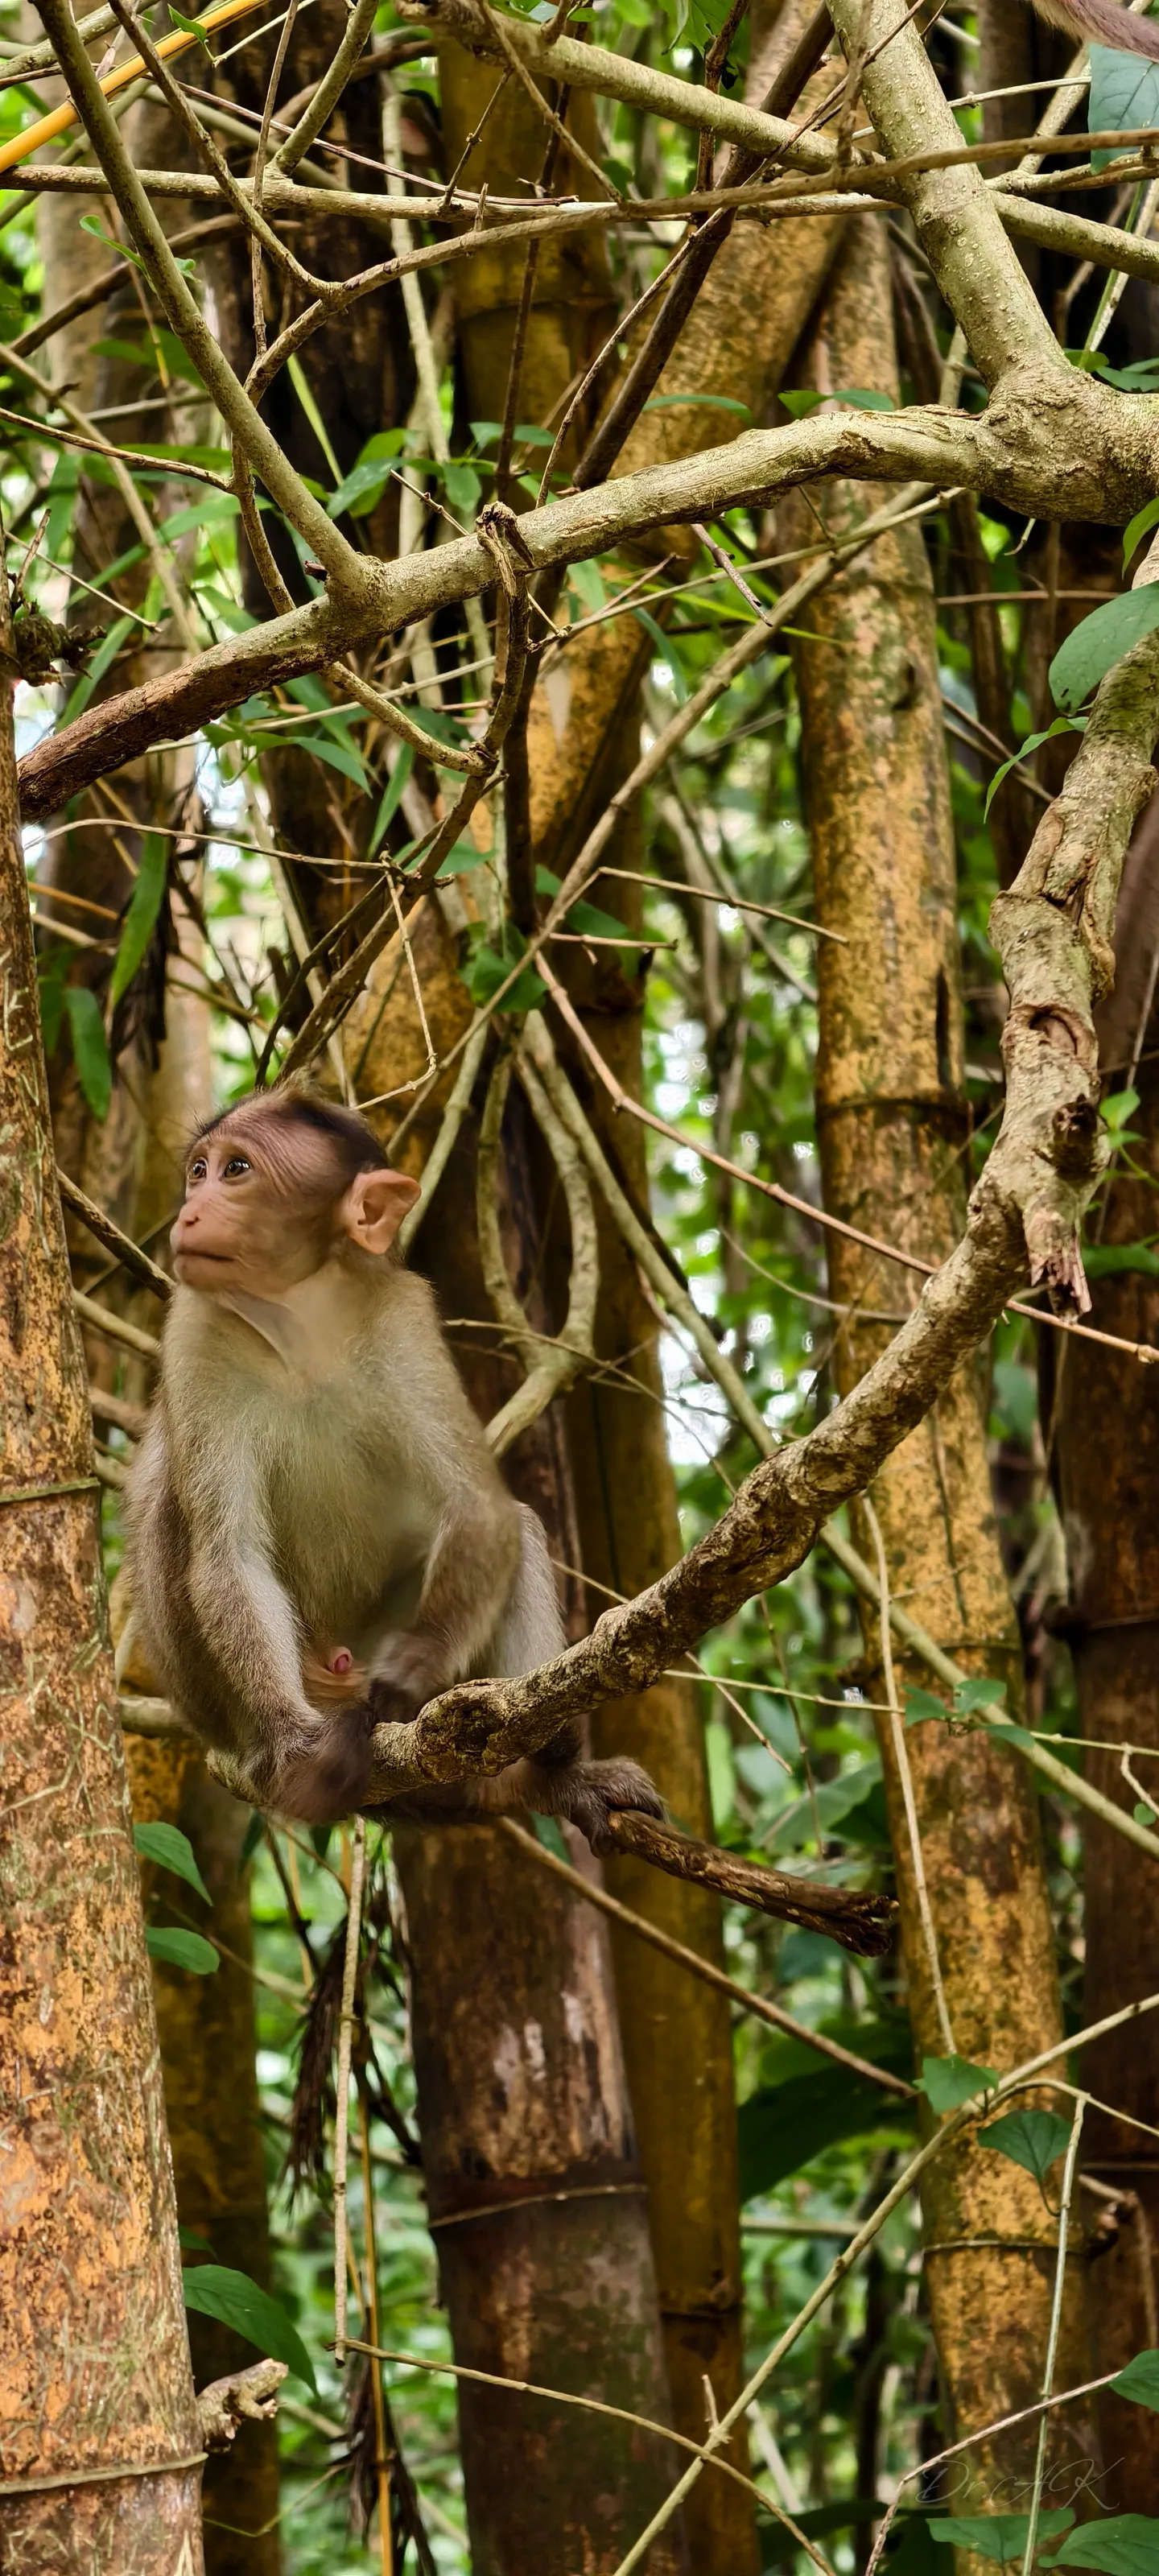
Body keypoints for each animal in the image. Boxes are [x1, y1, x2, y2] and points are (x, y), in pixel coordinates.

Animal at [122, 1082, 663, 1847]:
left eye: (237, 1171)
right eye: (198, 1170)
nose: (190, 1211)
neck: (299, 1322)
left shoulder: (401, 1318)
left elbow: (481, 1510)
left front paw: (416, 1665)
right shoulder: (194, 1332)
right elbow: (230, 1554)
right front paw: (291, 1743)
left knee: (519, 1535)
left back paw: (539, 1771)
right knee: (173, 1498)